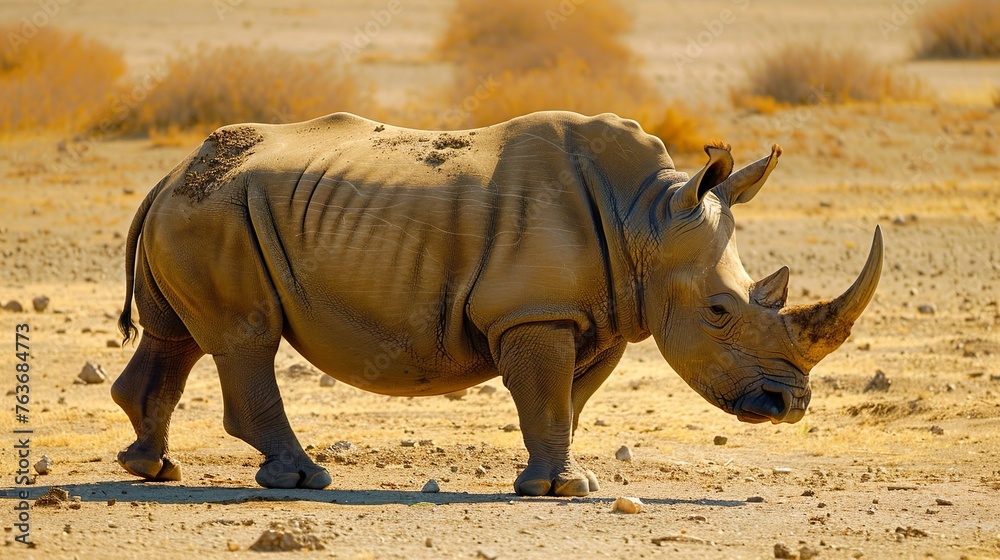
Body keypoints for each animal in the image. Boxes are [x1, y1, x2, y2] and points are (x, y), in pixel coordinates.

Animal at [112, 111, 882, 496]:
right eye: (721, 312)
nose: (791, 406)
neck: (646, 217)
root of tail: (168, 173)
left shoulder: (598, 316)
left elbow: (568, 401)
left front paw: (566, 478)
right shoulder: (535, 311)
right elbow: (545, 396)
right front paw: (563, 490)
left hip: (201, 211)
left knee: (177, 338)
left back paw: (152, 469)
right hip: (215, 216)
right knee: (246, 339)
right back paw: (302, 480)